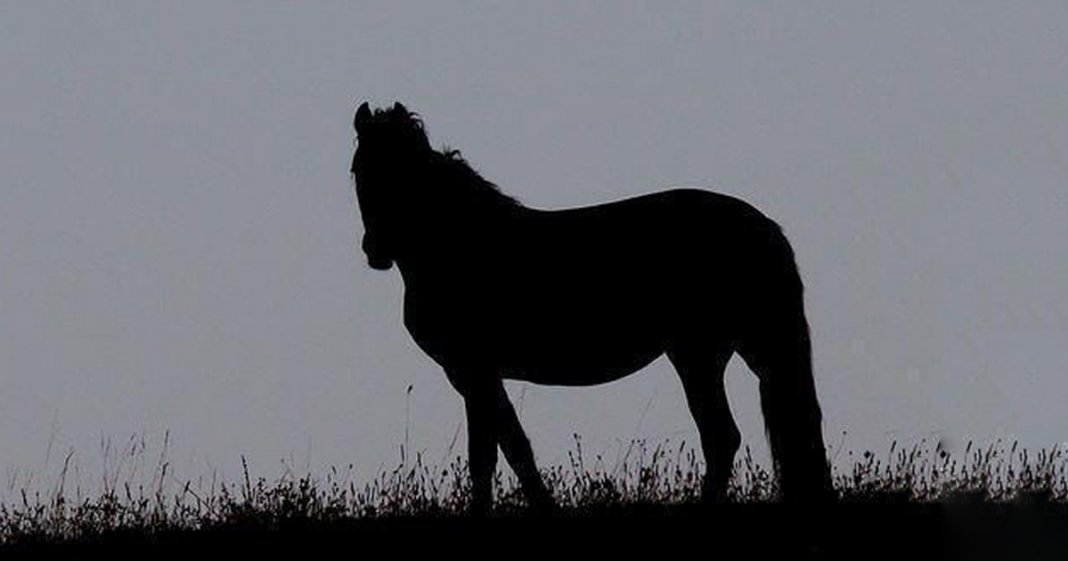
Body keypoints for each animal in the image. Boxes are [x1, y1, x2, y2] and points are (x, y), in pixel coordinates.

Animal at [350, 101, 833, 510]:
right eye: (358, 169)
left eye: (406, 173)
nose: (376, 250)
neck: (460, 244)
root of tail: (763, 227)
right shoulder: (474, 374)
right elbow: (501, 450)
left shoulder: (475, 369)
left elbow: (498, 452)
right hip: (731, 351)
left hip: (701, 352)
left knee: (720, 437)